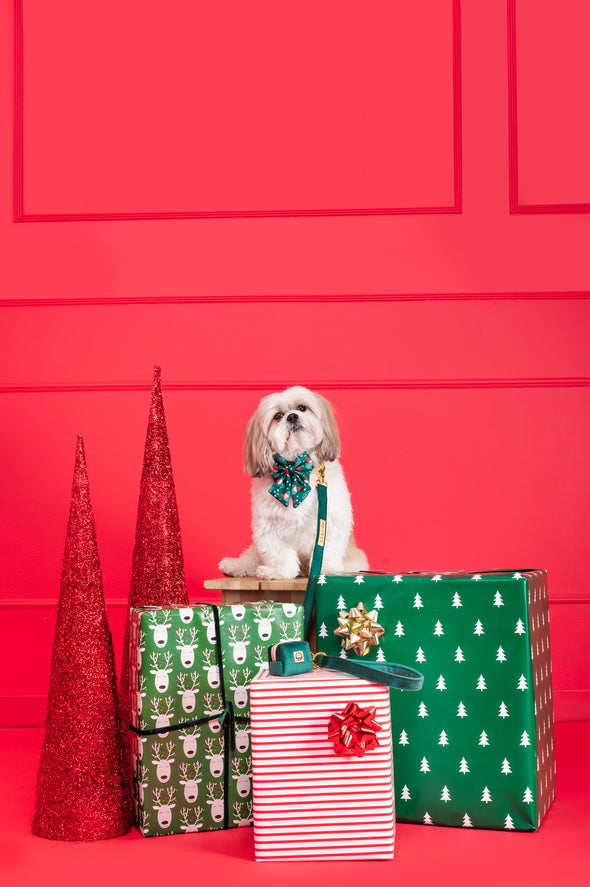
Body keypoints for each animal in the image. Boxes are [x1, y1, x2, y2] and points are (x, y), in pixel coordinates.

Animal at [221, 384, 370, 580]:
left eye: (301, 408)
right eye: (277, 416)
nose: (292, 416)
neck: (294, 471)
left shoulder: (330, 519)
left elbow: (328, 550)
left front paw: (326, 570)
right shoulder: (268, 526)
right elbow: (280, 555)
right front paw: (278, 572)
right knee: (252, 557)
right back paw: (234, 566)